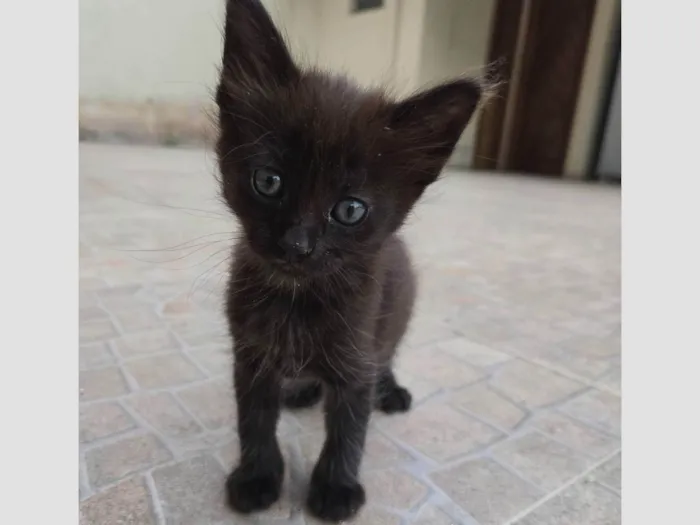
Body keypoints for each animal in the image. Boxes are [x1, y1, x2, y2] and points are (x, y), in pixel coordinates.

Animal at [216, 1, 482, 520]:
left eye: (350, 210)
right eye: (269, 181)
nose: (297, 244)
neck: (297, 299)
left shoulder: (358, 351)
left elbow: (349, 428)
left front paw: (336, 487)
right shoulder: (250, 354)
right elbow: (253, 418)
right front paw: (257, 476)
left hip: (393, 316)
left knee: (388, 355)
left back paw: (390, 389)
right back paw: (302, 389)